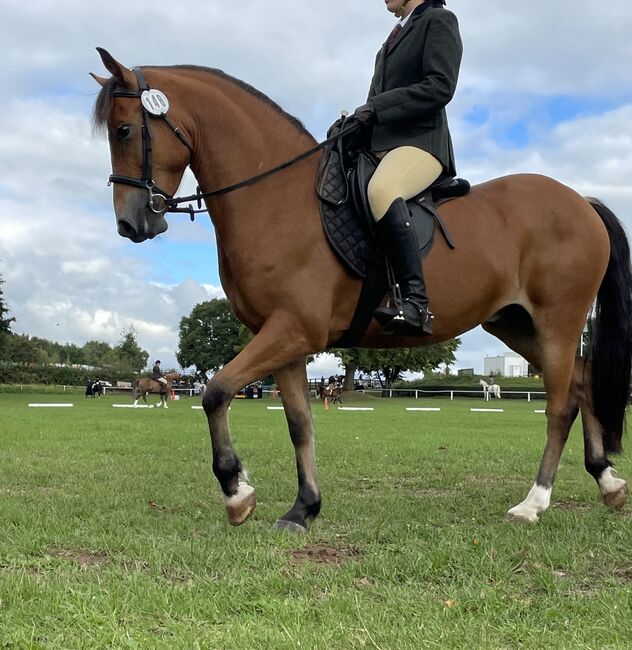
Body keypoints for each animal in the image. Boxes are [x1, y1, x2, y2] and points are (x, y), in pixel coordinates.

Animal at [92, 49, 632, 528]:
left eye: (124, 130)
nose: (130, 224)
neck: (275, 198)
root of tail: (581, 201)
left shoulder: (293, 330)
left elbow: (216, 391)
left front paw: (237, 493)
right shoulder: (285, 339)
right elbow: (299, 422)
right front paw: (303, 509)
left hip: (557, 321)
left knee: (560, 405)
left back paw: (534, 503)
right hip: (516, 325)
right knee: (582, 383)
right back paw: (607, 482)